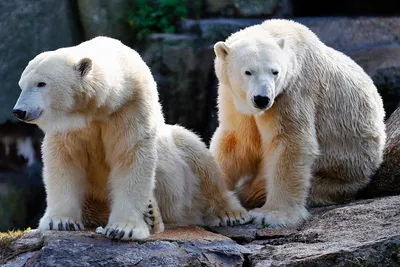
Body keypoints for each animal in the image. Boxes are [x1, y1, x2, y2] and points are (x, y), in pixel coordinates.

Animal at [14, 35, 248, 241]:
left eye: (41, 83)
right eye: (22, 85)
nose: (19, 111)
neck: (101, 107)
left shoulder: (130, 106)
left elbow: (132, 155)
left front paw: (123, 229)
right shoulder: (71, 125)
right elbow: (65, 159)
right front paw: (60, 221)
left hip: (182, 168)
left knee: (201, 160)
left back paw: (230, 214)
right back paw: (152, 215)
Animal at [209, 18, 388, 228]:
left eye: (275, 72)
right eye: (248, 72)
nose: (262, 99)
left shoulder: (292, 90)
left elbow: (290, 141)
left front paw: (271, 215)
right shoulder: (233, 98)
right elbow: (237, 143)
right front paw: (228, 213)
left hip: (341, 171)